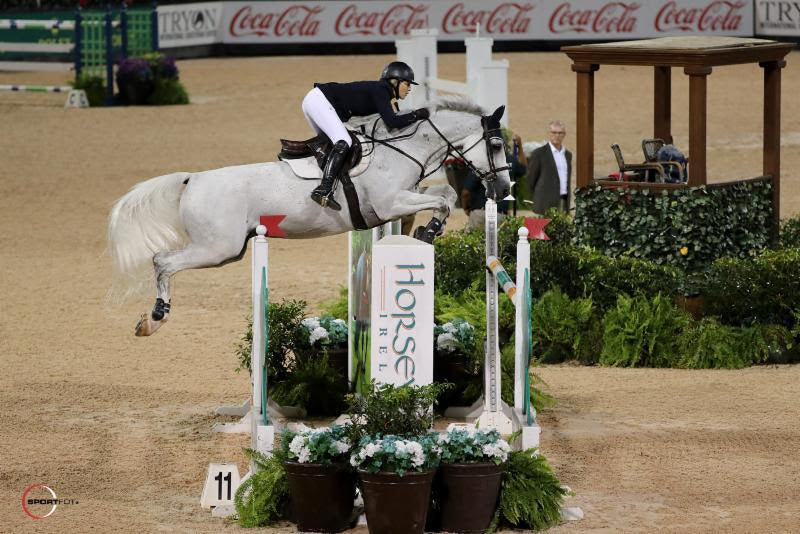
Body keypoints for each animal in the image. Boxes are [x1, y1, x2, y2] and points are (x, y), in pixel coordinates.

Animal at [108, 97, 512, 336]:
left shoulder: (406, 196)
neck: (403, 148)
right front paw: (428, 234)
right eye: (495, 145)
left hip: (225, 250)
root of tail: (192, 179)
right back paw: (155, 318)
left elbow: (444, 196)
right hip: (217, 248)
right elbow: (441, 203)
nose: (504, 188)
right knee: (163, 261)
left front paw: (429, 231)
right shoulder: (390, 204)